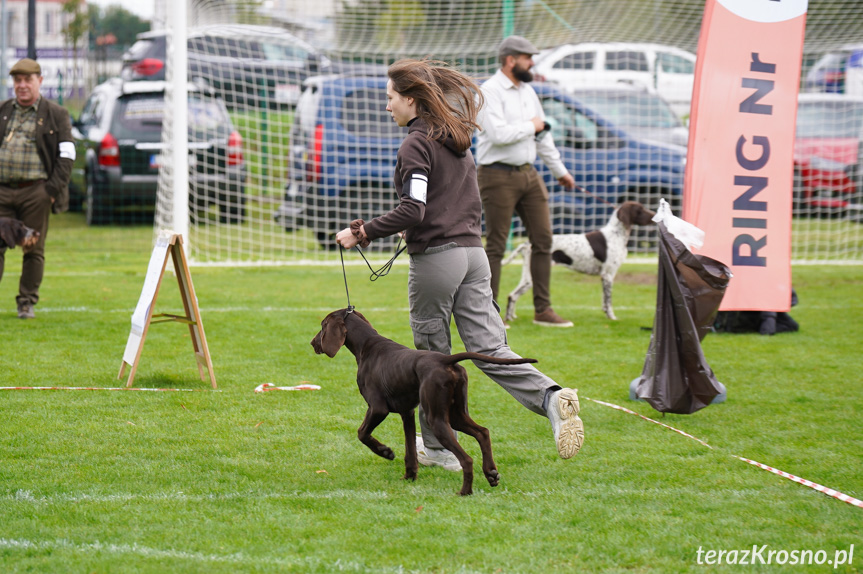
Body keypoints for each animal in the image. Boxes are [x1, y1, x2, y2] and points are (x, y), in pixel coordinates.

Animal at [310, 308, 540, 498]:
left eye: (322, 326)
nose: (313, 344)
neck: (368, 346)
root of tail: (445, 361)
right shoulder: (407, 413)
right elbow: (410, 451)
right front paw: (409, 477)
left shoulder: (377, 408)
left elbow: (362, 434)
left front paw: (386, 452)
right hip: (455, 415)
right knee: (483, 432)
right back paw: (491, 473)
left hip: (436, 419)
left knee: (466, 459)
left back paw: (465, 492)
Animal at [502, 200, 652, 322]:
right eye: (640, 209)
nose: (653, 215)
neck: (616, 234)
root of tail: (526, 244)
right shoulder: (608, 275)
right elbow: (609, 300)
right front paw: (612, 317)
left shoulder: (605, 276)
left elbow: (604, 300)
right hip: (532, 278)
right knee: (512, 296)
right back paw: (509, 319)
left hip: (527, 275)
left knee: (513, 295)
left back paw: (512, 316)